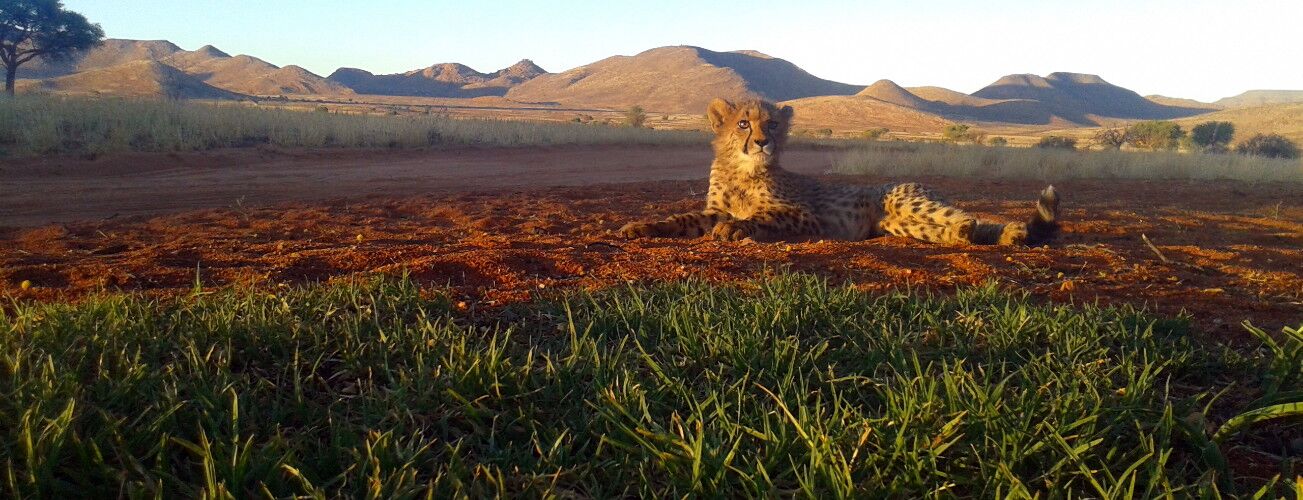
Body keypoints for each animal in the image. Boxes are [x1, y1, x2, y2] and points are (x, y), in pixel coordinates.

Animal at [619, 98, 1060, 245]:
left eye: (773, 124)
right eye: (744, 124)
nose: (762, 142)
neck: (743, 170)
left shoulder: (804, 216)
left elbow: (757, 217)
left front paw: (736, 228)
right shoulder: (710, 210)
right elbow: (682, 219)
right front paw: (641, 227)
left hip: (905, 201)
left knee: (969, 219)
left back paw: (993, 231)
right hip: (899, 225)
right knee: (958, 230)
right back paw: (991, 236)